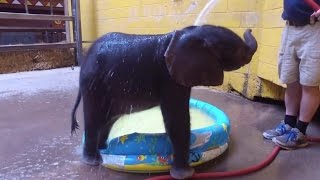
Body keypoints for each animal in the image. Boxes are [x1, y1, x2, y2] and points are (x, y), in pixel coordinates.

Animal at [71, 24, 256, 179]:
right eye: (232, 49)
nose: (251, 28)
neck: (187, 33)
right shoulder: (168, 77)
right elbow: (177, 119)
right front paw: (185, 175)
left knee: (108, 119)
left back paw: (104, 150)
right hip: (94, 83)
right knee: (95, 118)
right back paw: (93, 161)